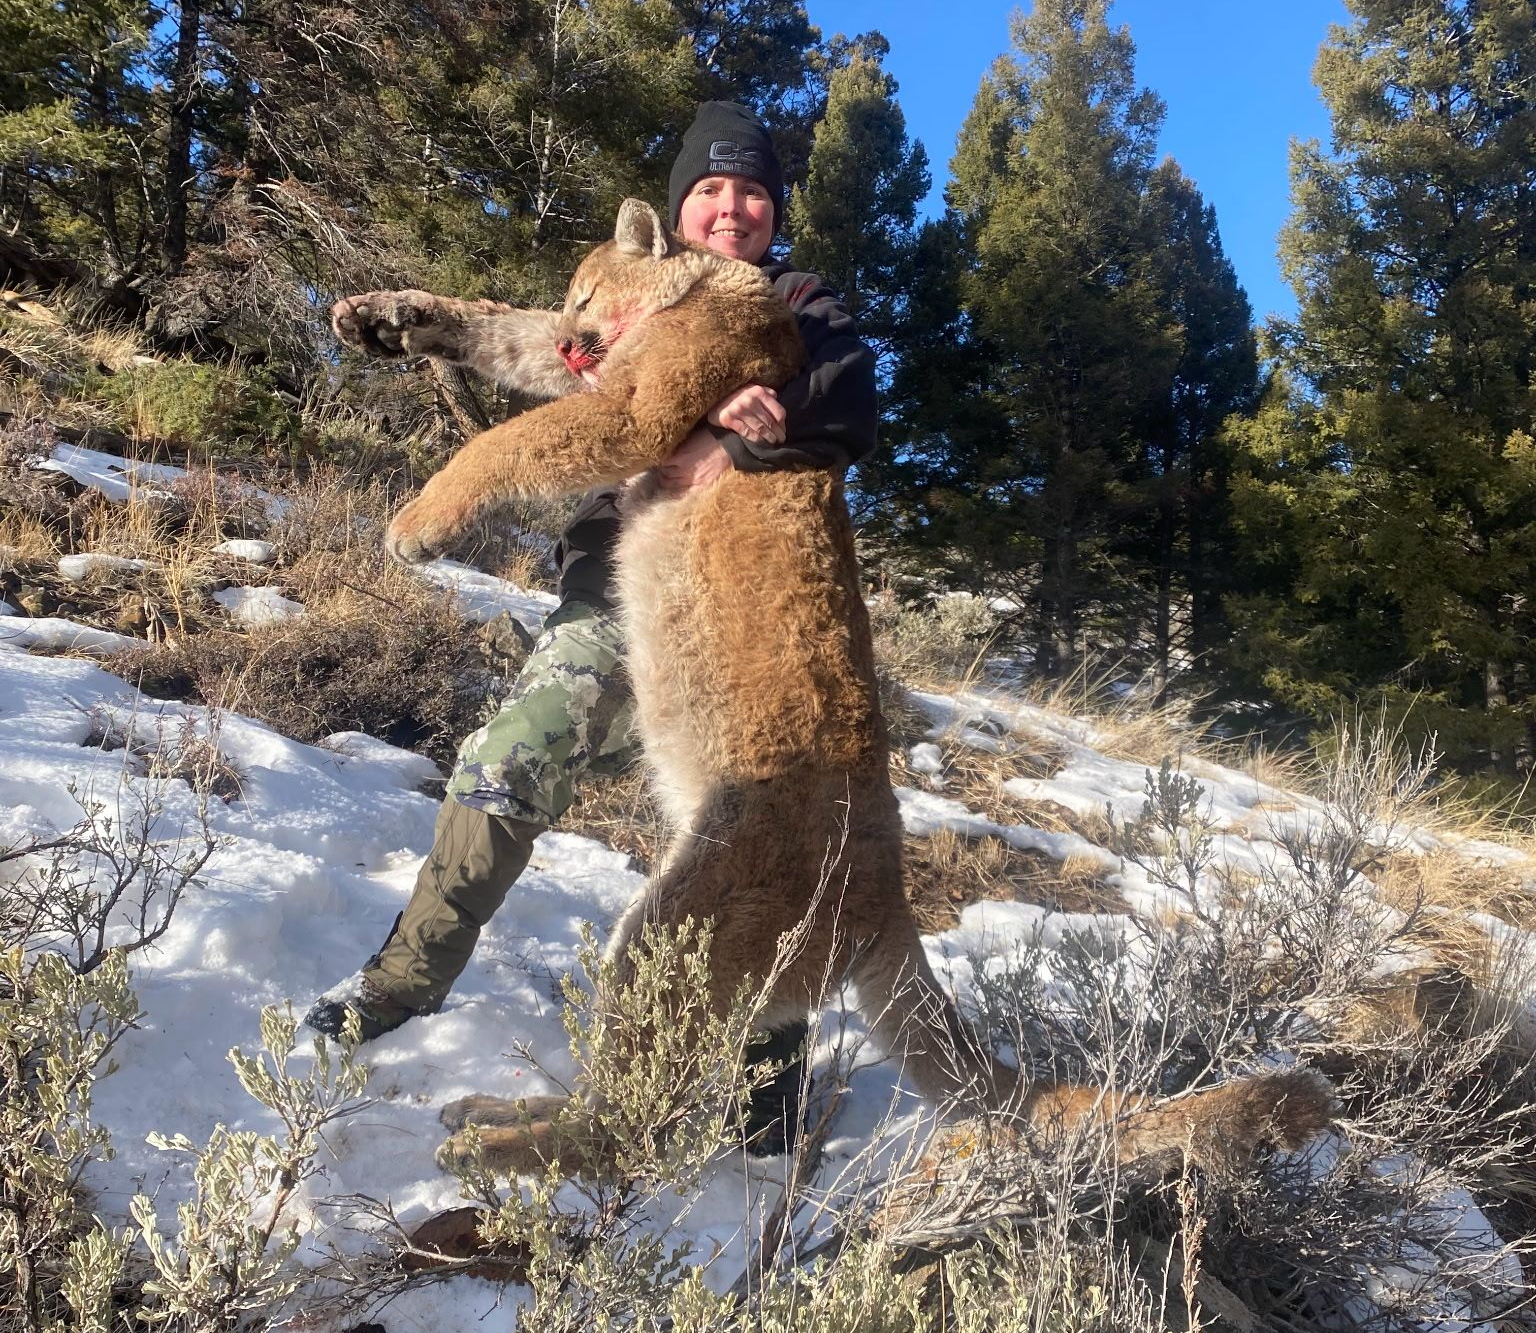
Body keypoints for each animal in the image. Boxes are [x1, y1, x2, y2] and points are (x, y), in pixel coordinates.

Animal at [331, 198, 1332, 1178]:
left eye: (587, 290)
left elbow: (510, 440)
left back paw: (496, 1145)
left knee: (633, 1132)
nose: (582, 334)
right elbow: (510, 334)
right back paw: (501, 1115)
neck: (712, 288)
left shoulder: (636, 409)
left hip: (685, 920)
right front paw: (391, 316)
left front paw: (415, 524)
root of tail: (891, 895)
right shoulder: (608, 379)